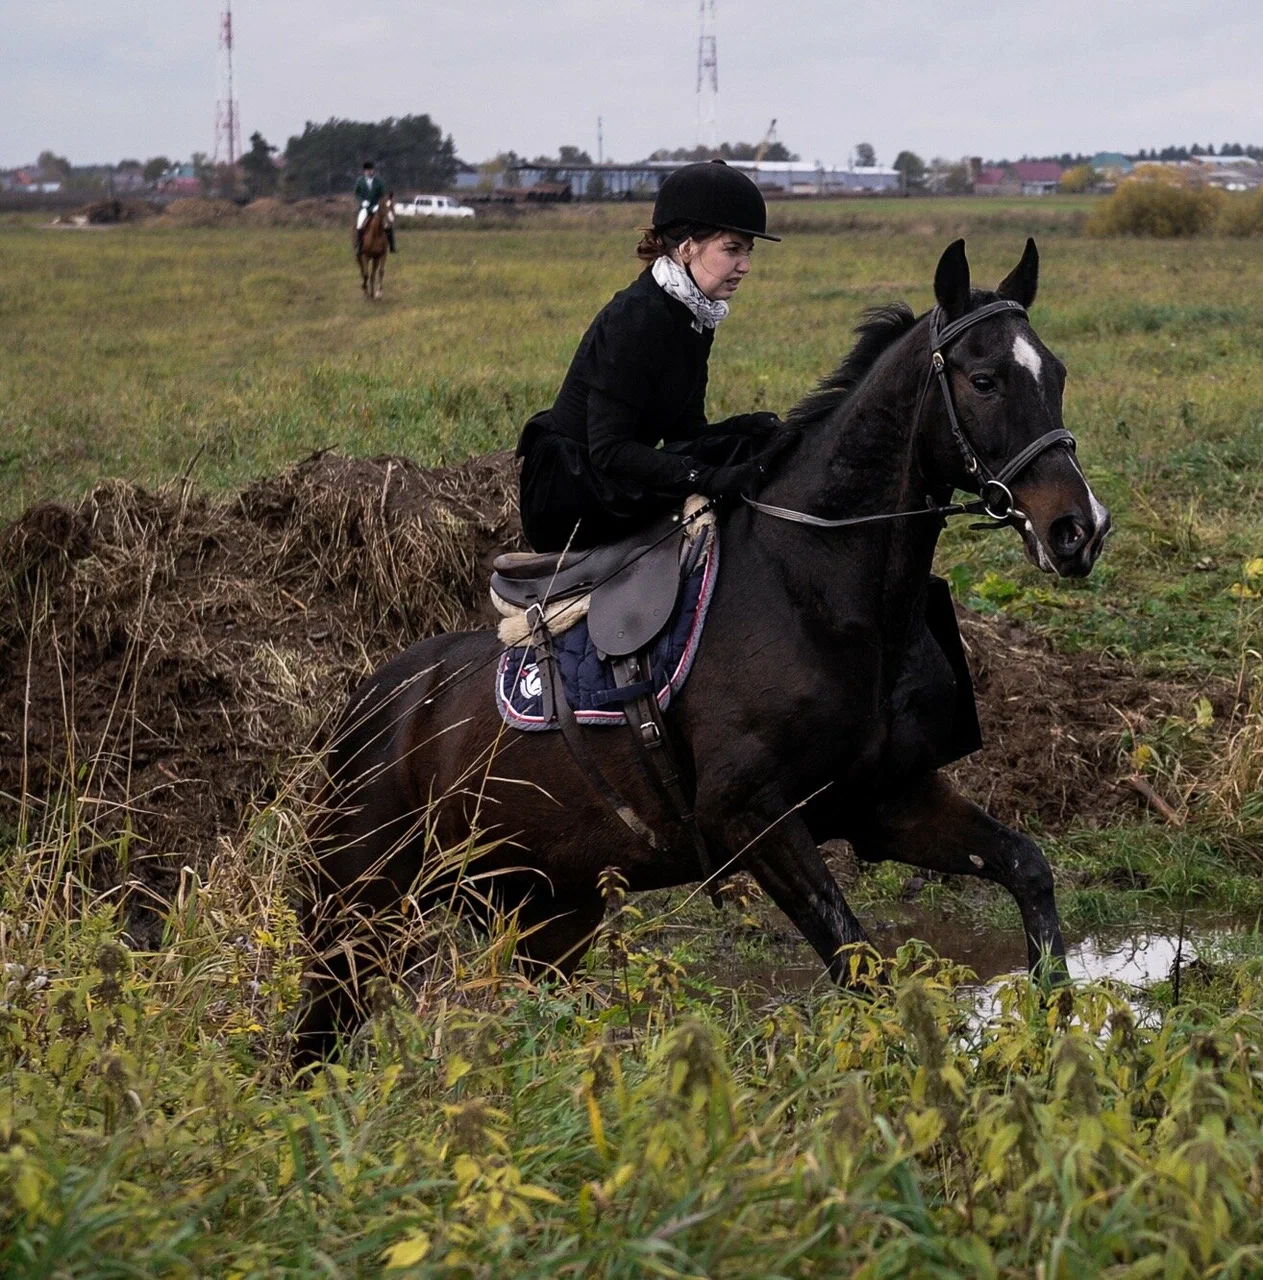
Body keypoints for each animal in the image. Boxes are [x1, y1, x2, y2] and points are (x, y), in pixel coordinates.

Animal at [300, 241, 1110, 1059]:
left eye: (1056, 373)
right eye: (983, 380)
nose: (1080, 529)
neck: (818, 591)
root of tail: (363, 709)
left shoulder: (885, 801)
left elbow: (1027, 870)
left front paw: (1057, 1035)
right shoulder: (749, 819)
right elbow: (860, 965)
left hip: (550, 911)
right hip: (360, 909)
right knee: (315, 1037)